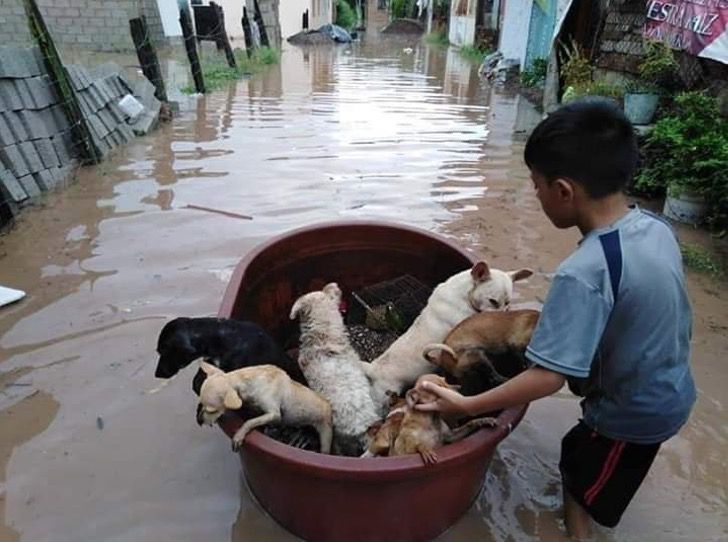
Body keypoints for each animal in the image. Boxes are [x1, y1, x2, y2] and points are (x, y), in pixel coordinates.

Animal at [199, 364, 336, 456]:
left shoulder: (274, 414)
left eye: (212, 411)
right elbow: (253, 417)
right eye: (200, 404)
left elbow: (249, 422)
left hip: (325, 435)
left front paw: (239, 435)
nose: (199, 420)